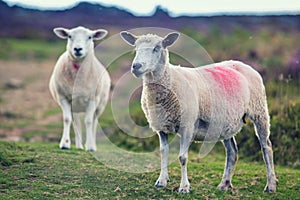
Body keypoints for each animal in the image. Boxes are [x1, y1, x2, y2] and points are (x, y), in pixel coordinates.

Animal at [120, 31, 278, 194]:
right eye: (135, 48)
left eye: (157, 48)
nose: (136, 66)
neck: (170, 80)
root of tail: (244, 65)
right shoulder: (161, 126)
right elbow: (163, 152)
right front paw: (161, 181)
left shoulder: (187, 126)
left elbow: (182, 157)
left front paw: (184, 187)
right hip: (225, 122)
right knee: (232, 151)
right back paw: (224, 184)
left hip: (259, 111)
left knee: (266, 147)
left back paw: (271, 185)